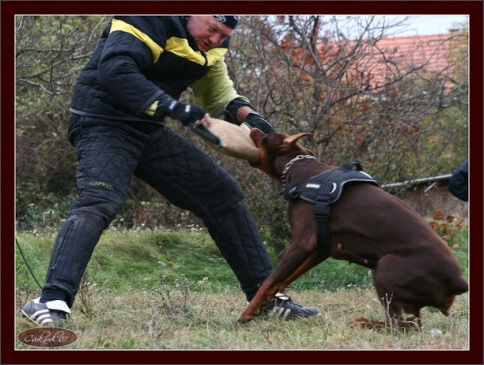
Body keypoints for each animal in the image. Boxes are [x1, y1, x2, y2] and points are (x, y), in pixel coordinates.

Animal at [239, 128, 468, 328]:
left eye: (266, 136)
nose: (254, 128)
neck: (298, 169)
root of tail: (459, 282)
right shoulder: (319, 248)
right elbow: (281, 281)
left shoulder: (302, 243)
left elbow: (269, 280)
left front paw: (246, 314)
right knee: (410, 324)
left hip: (386, 268)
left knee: (399, 326)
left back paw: (365, 323)